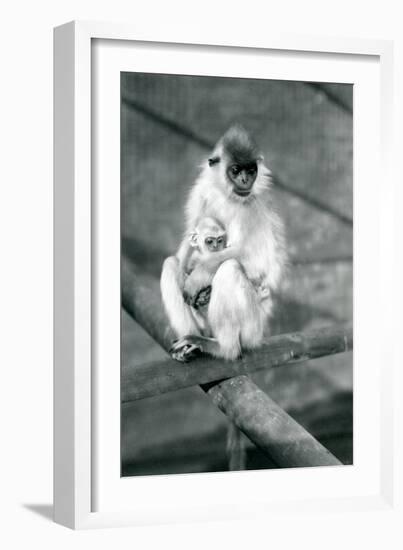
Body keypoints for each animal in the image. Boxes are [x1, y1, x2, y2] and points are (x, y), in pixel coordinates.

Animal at [161, 126, 288, 366]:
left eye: (251, 170)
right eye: (236, 170)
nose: (246, 179)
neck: (228, 197)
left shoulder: (251, 207)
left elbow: (252, 259)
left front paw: (198, 277)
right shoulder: (202, 191)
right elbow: (188, 240)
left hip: (252, 329)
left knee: (230, 267)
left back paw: (224, 348)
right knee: (171, 263)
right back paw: (191, 345)